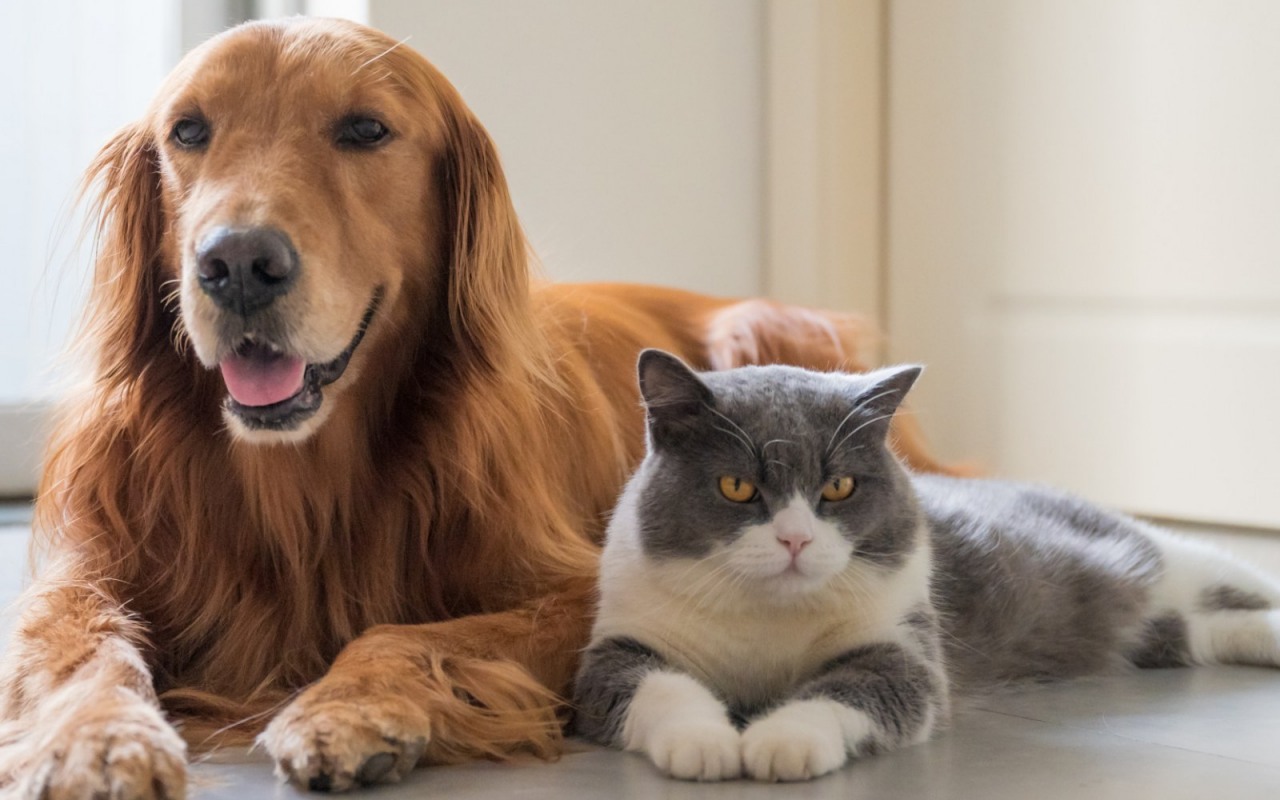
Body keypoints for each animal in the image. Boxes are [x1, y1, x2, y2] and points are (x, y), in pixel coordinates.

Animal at [0, 15, 957, 793]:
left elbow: (409, 633)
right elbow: (79, 647)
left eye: (365, 129)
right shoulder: (82, 573)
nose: (236, 264)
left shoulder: (579, 586)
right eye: (188, 130)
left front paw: (345, 710)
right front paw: (95, 741)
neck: (302, 485)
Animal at [576, 348, 1280, 778]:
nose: (795, 541)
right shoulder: (618, 647)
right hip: (1163, 632)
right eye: (737, 487)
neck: (766, 622)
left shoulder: (904, 648)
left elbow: (850, 691)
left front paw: (781, 743)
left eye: (838, 487)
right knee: (1205, 630)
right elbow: (655, 687)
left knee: (1230, 575)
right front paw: (707, 745)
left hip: (1161, 555)